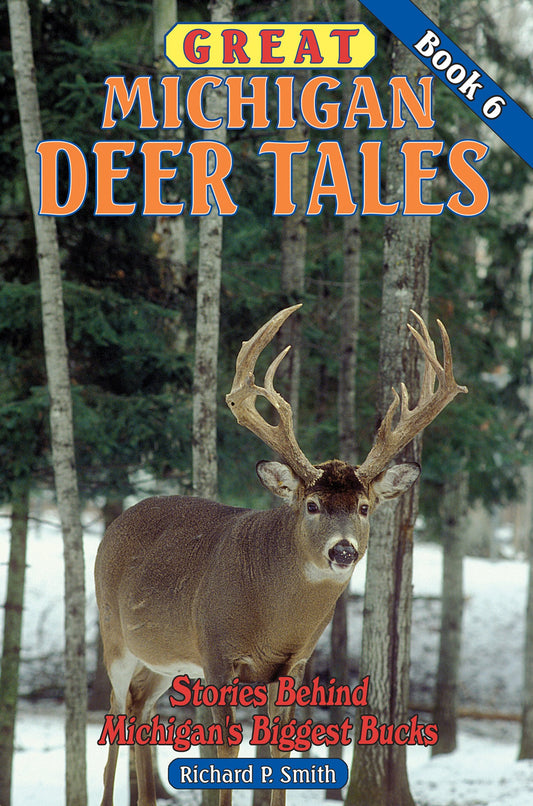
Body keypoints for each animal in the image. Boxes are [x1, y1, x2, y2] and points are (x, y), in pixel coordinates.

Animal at [95, 304, 467, 806]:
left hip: (163, 660)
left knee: (139, 711)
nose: (344, 549)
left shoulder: (294, 665)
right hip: (114, 635)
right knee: (115, 714)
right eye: (311, 505)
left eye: (364, 507)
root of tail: (115, 523)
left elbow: (279, 749)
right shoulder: (216, 653)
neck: (275, 620)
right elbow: (224, 752)